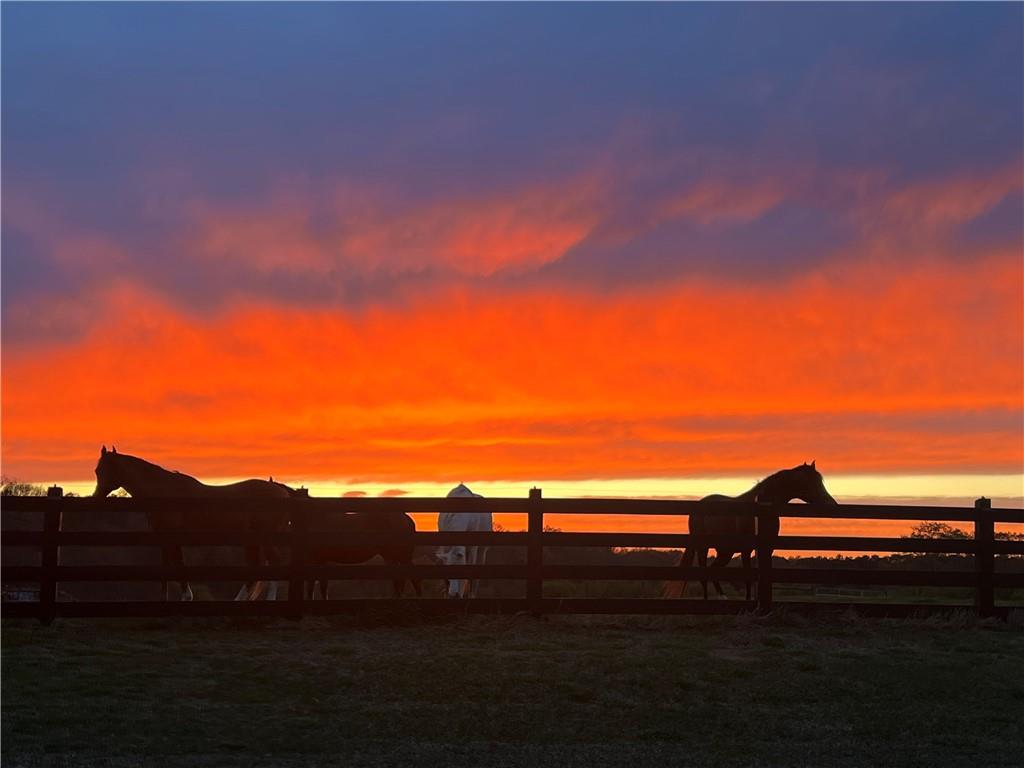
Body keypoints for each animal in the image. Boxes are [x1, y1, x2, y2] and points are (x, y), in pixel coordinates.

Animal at [92, 448, 292, 606]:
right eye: (96, 470)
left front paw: (186, 598)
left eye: (102, 470)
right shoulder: (162, 537)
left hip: (265, 538)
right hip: (252, 540)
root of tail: (282, 493)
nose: (96, 497)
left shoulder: (173, 536)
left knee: (274, 563)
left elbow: (179, 564)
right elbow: (165, 567)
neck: (164, 492)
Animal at [663, 462, 839, 602]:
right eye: (812, 483)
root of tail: (699, 505)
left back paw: (722, 597)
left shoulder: (765, 549)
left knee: (714, 569)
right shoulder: (746, 550)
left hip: (725, 551)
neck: (760, 508)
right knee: (703, 572)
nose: (832, 504)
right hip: (703, 547)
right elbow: (748, 577)